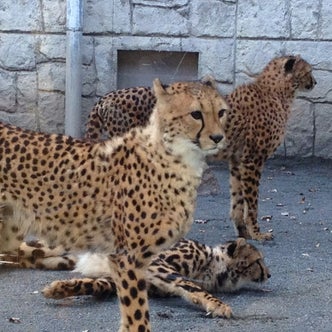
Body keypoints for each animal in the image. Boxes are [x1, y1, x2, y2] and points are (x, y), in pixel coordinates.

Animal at [40, 237, 270, 318]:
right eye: (258, 261)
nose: (269, 274)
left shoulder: (121, 279)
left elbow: (93, 285)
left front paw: (59, 289)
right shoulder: (156, 264)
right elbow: (189, 284)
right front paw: (217, 305)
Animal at [83, 55, 316, 241]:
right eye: (309, 71)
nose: (314, 81)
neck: (278, 92)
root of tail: (105, 97)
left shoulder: (237, 161)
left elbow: (238, 199)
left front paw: (243, 233)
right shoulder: (253, 159)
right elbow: (252, 202)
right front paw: (258, 233)